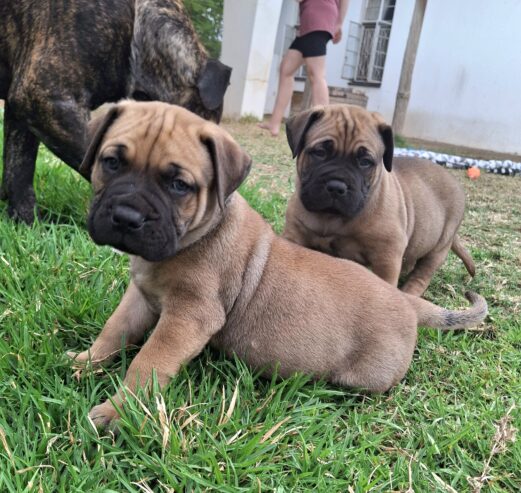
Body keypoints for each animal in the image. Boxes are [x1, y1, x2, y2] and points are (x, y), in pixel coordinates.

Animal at [282, 105, 474, 294]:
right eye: (320, 153)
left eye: (365, 162)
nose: (337, 186)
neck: (331, 217)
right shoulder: (294, 234)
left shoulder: (387, 255)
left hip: (439, 247)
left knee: (422, 274)